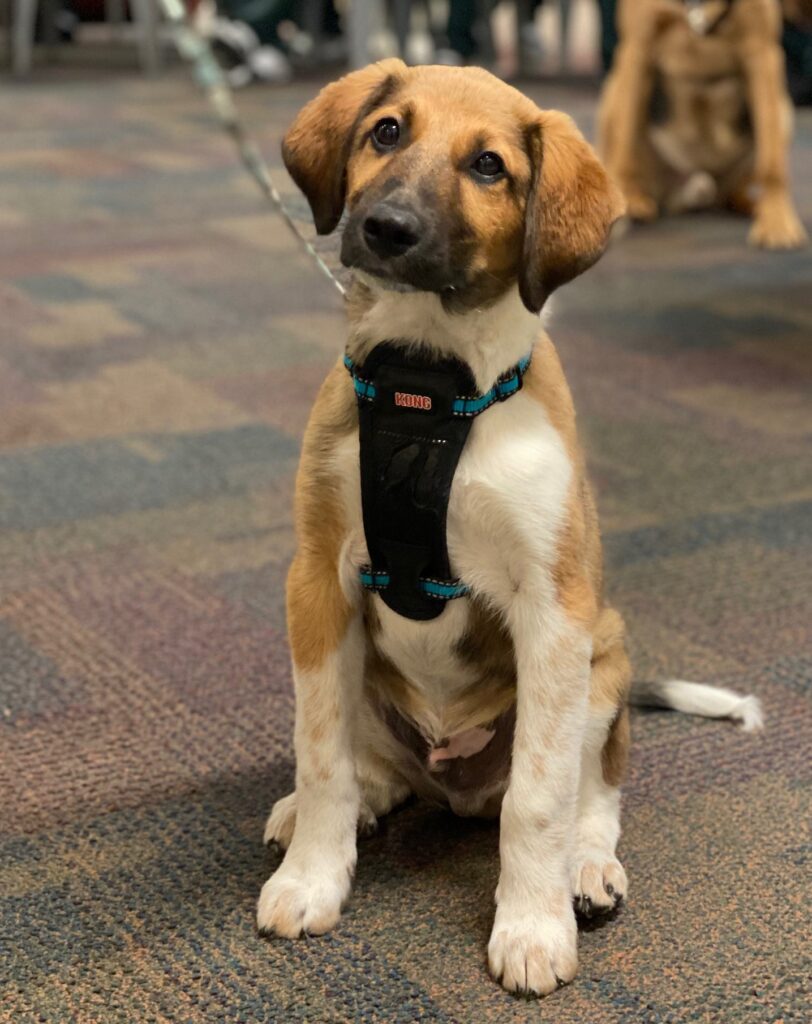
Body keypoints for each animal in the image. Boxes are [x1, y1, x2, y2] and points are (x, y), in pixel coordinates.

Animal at [258, 59, 761, 995]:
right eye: (385, 131)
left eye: (489, 166)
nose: (385, 227)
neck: (427, 378)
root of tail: (452, 783)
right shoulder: (318, 581)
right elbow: (322, 752)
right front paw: (311, 876)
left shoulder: (553, 612)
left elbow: (539, 798)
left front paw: (533, 928)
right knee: (368, 762)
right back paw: (330, 805)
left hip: (604, 661)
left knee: (593, 794)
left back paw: (587, 871)